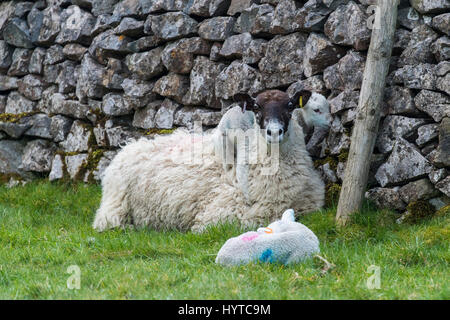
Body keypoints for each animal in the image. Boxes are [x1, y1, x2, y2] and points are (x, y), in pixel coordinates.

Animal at [91, 89, 330, 232]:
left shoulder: (308, 208)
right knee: (108, 222)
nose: (274, 132)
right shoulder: (221, 217)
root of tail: (129, 146)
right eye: (257, 107)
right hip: (115, 206)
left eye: (290, 105)